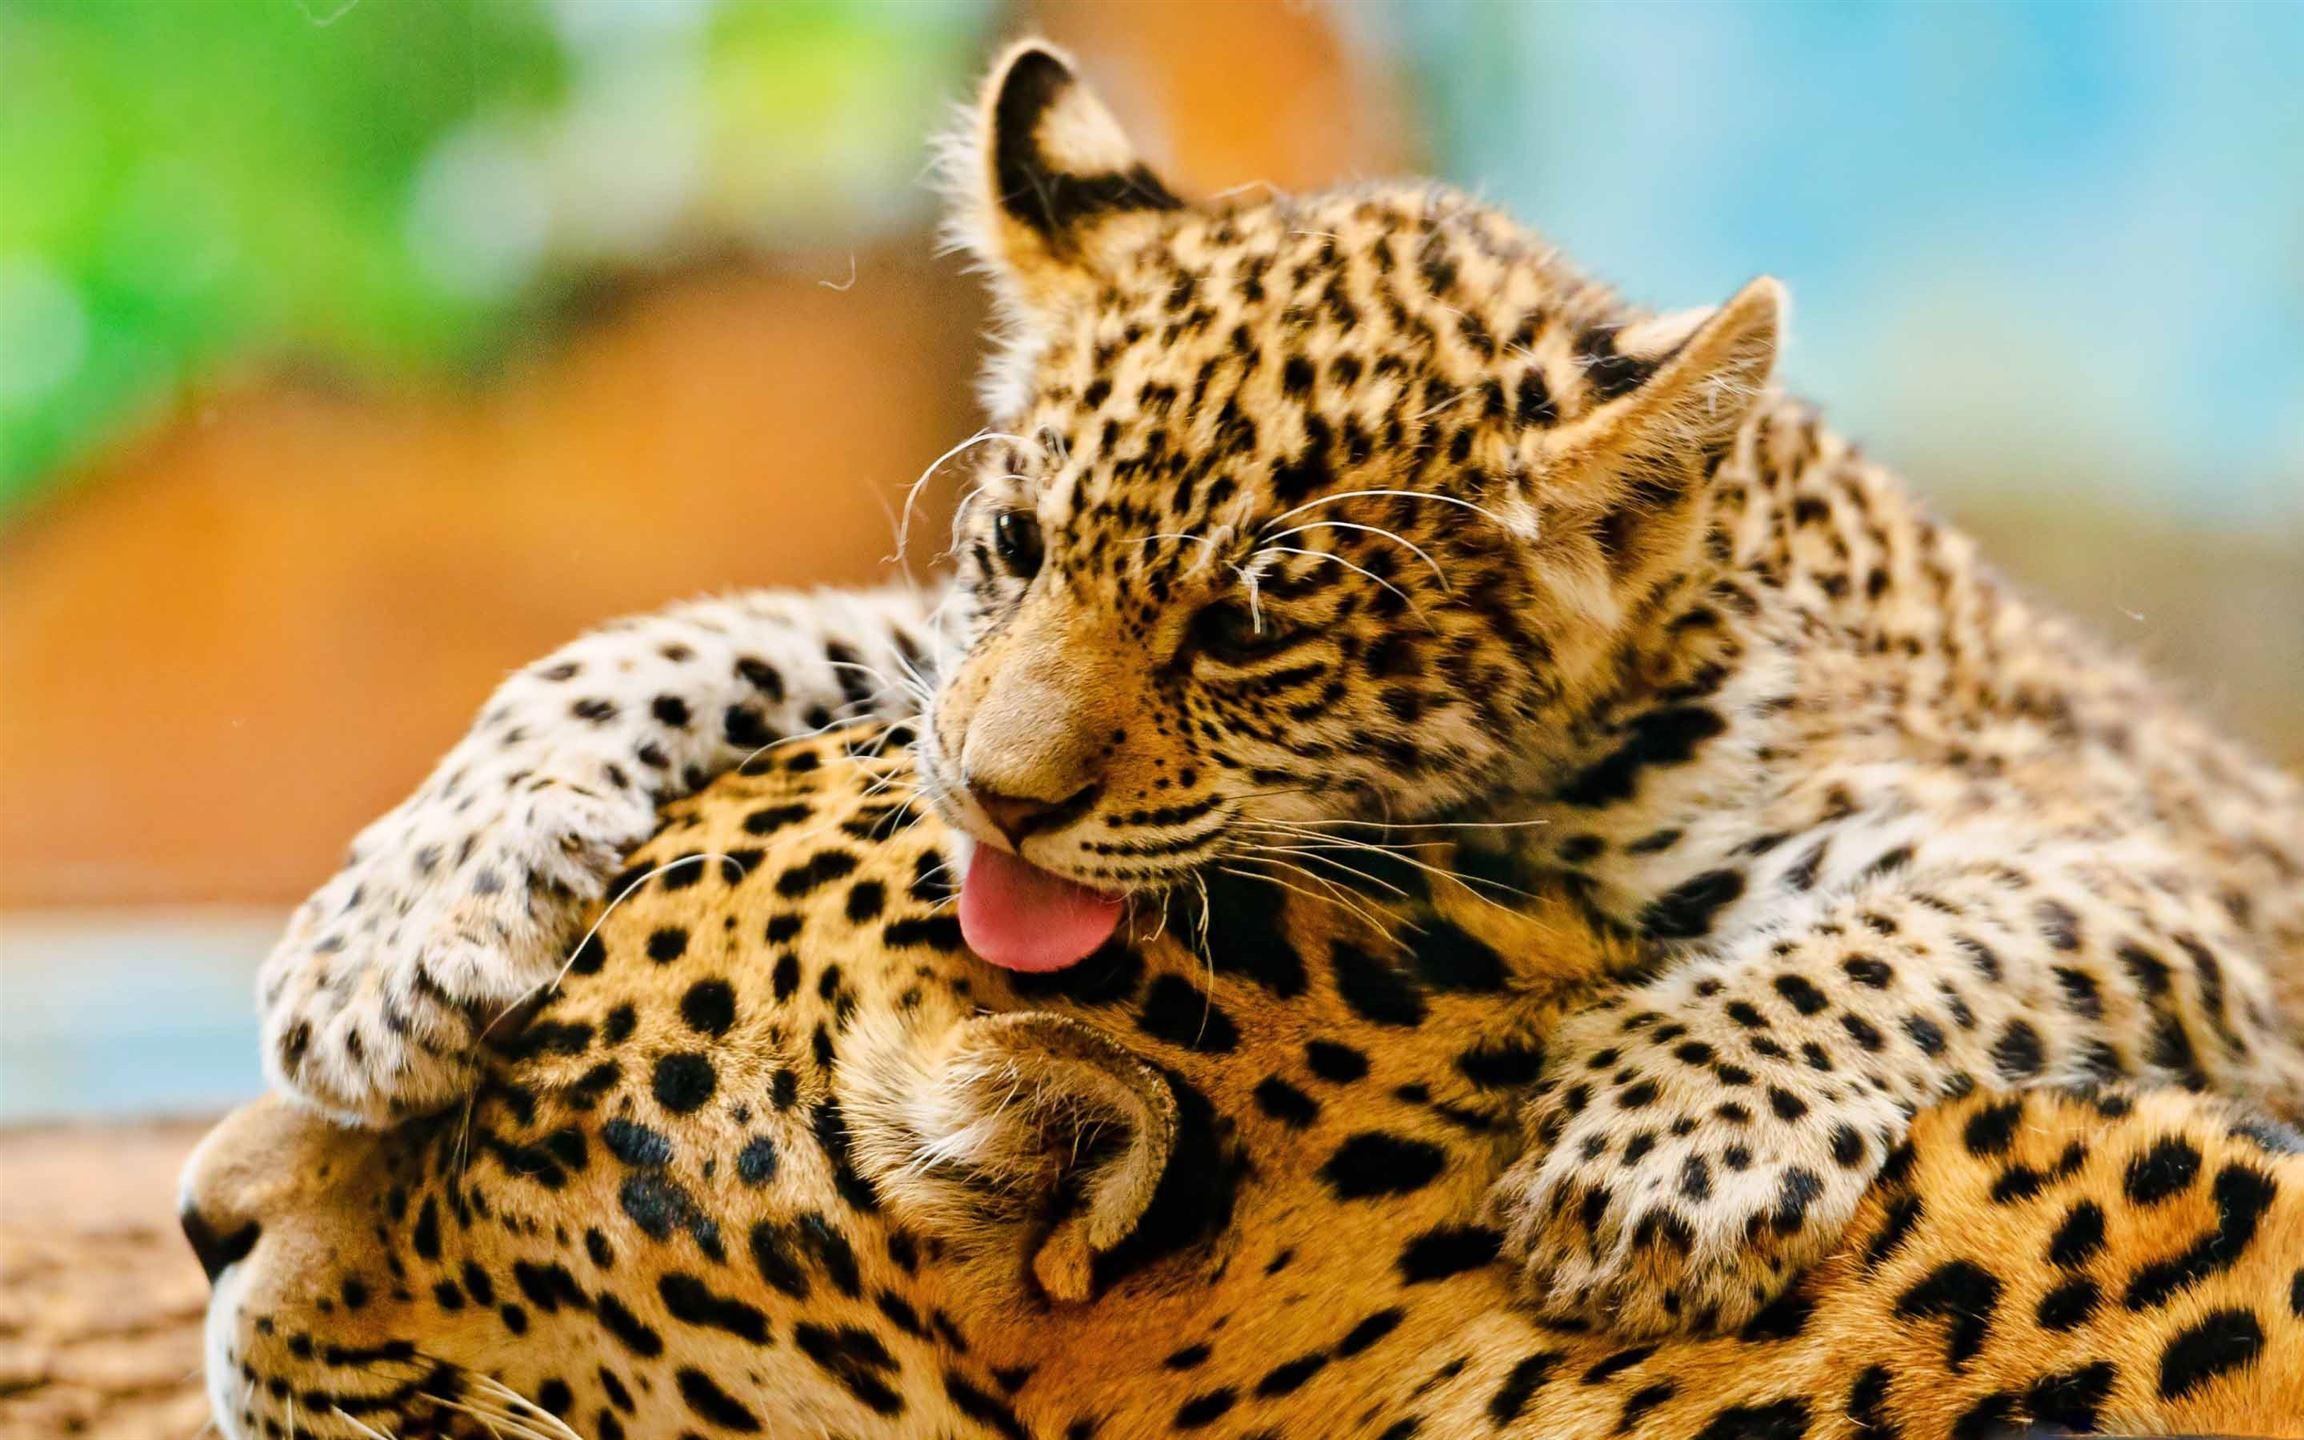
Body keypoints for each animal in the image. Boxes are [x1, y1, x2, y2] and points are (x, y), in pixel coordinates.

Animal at [256, 39, 2304, 1337]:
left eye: (1246, 632)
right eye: (1016, 544)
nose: (998, 806)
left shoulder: (2168, 885)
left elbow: (1914, 937)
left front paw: (1651, 1154)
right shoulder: (934, 664)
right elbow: (696, 635)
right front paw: (396, 931)